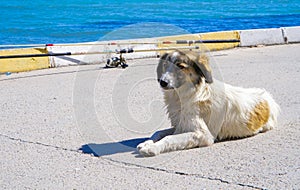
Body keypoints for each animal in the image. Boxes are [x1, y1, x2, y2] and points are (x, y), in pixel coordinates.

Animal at [137, 49, 280, 157]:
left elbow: (169, 138)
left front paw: (152, 148)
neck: (183, 97)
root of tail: (268, 96)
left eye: (180, 66)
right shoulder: (181, 125)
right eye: (165, 66)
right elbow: (158, 133)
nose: (162, 82)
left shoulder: (204, 135)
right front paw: (147, 143)